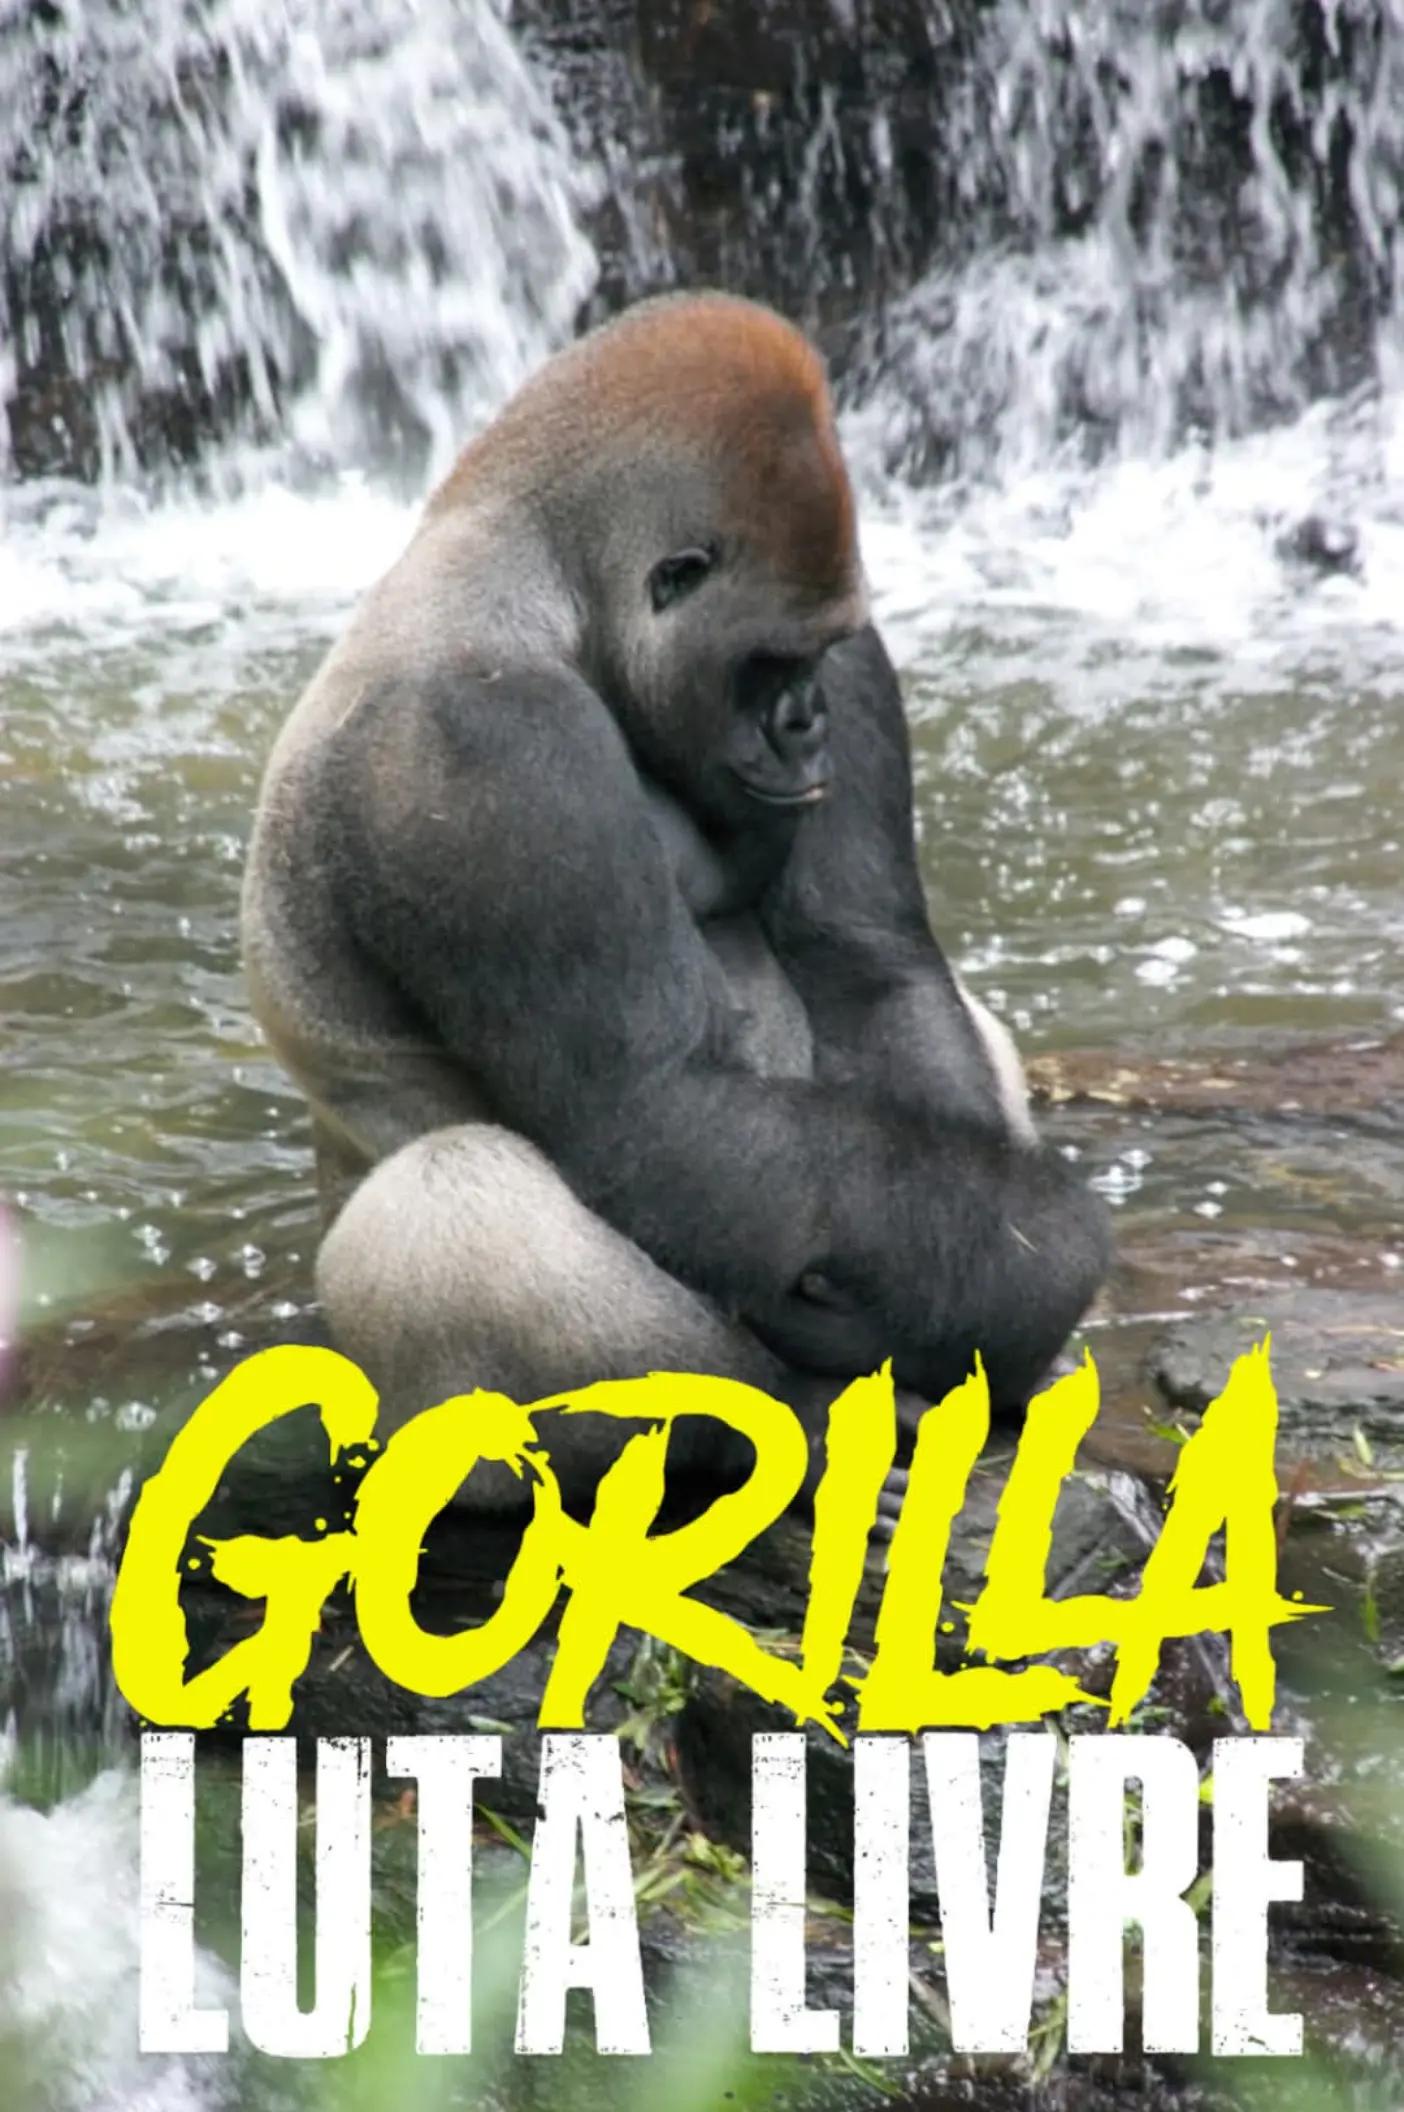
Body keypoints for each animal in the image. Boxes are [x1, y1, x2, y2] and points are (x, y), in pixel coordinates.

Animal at [242, 293, 1109, 1519]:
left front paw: (1007, 1299)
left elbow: (874, 973)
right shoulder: (481, 749)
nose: (805, 723)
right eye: (765, 662)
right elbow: (647, 1108)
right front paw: (1050, 1260)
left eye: (816, 655)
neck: (542, 582)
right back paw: (787, 1425)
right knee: (451, 1208)